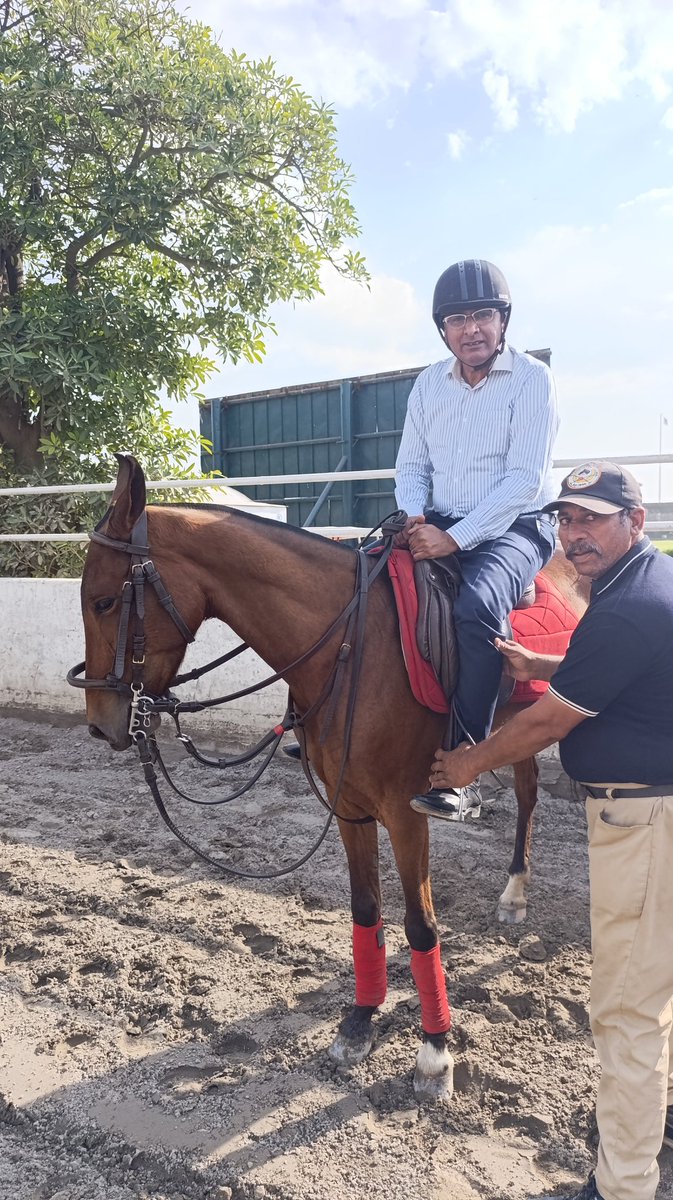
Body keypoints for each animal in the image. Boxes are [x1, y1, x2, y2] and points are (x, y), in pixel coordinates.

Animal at [75, 454, 588, 1103]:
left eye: (105, 602)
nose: (101, 724)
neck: (354, 645)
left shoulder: (405, 813)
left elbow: (420, 925)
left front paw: (435, 1053)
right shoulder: (350, 805)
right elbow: (366, 911)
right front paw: (360, 1023)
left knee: (530, 796)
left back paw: (517, 892)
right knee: (526, 788)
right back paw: (515, 892)